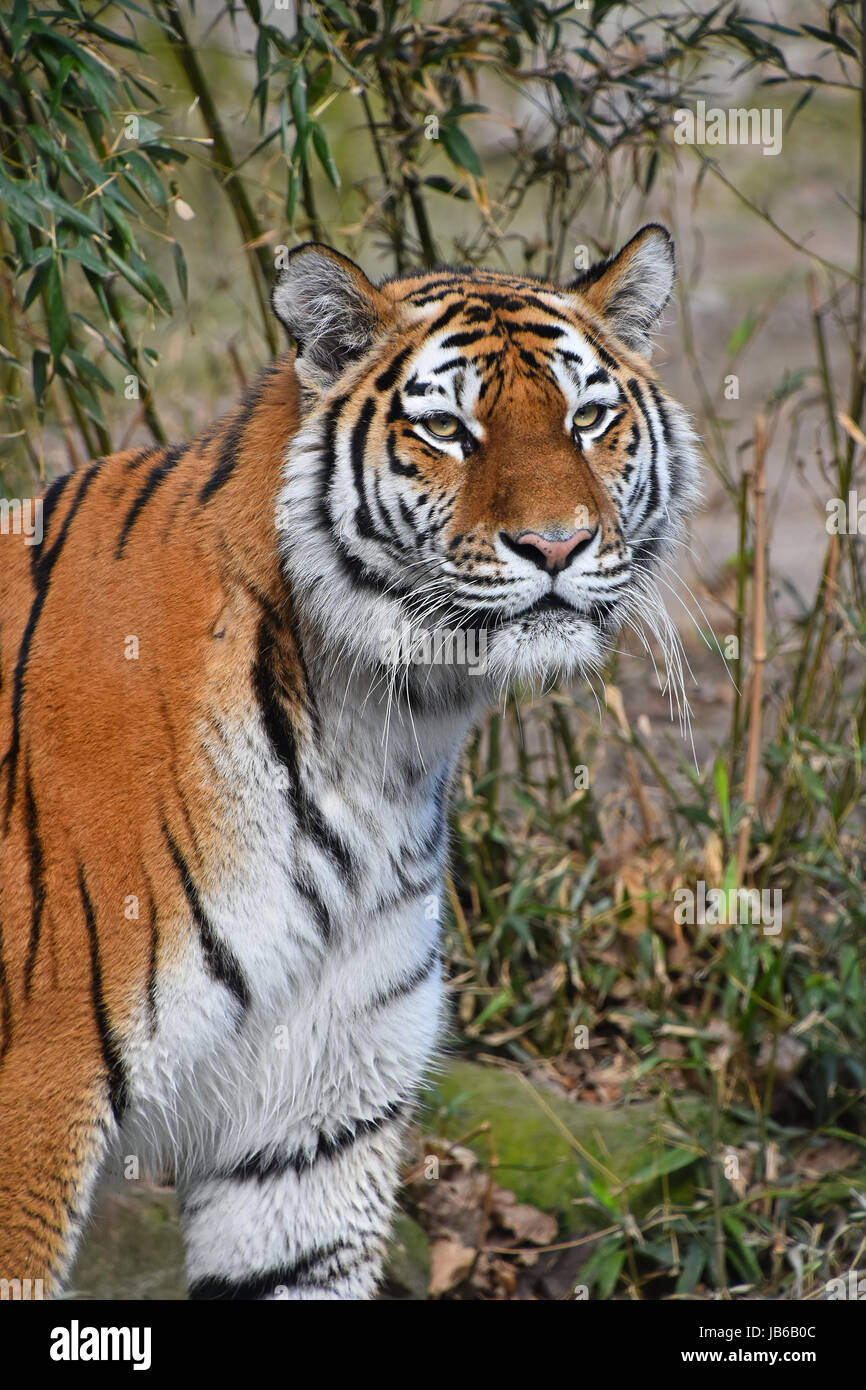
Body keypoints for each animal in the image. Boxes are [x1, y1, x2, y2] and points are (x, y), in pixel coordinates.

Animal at [0, 222, 700, 1295]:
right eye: (448, 429)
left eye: (588, 418)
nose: (556, 544)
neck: (381, 733)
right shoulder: (35, 1101)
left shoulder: (307, 1123)